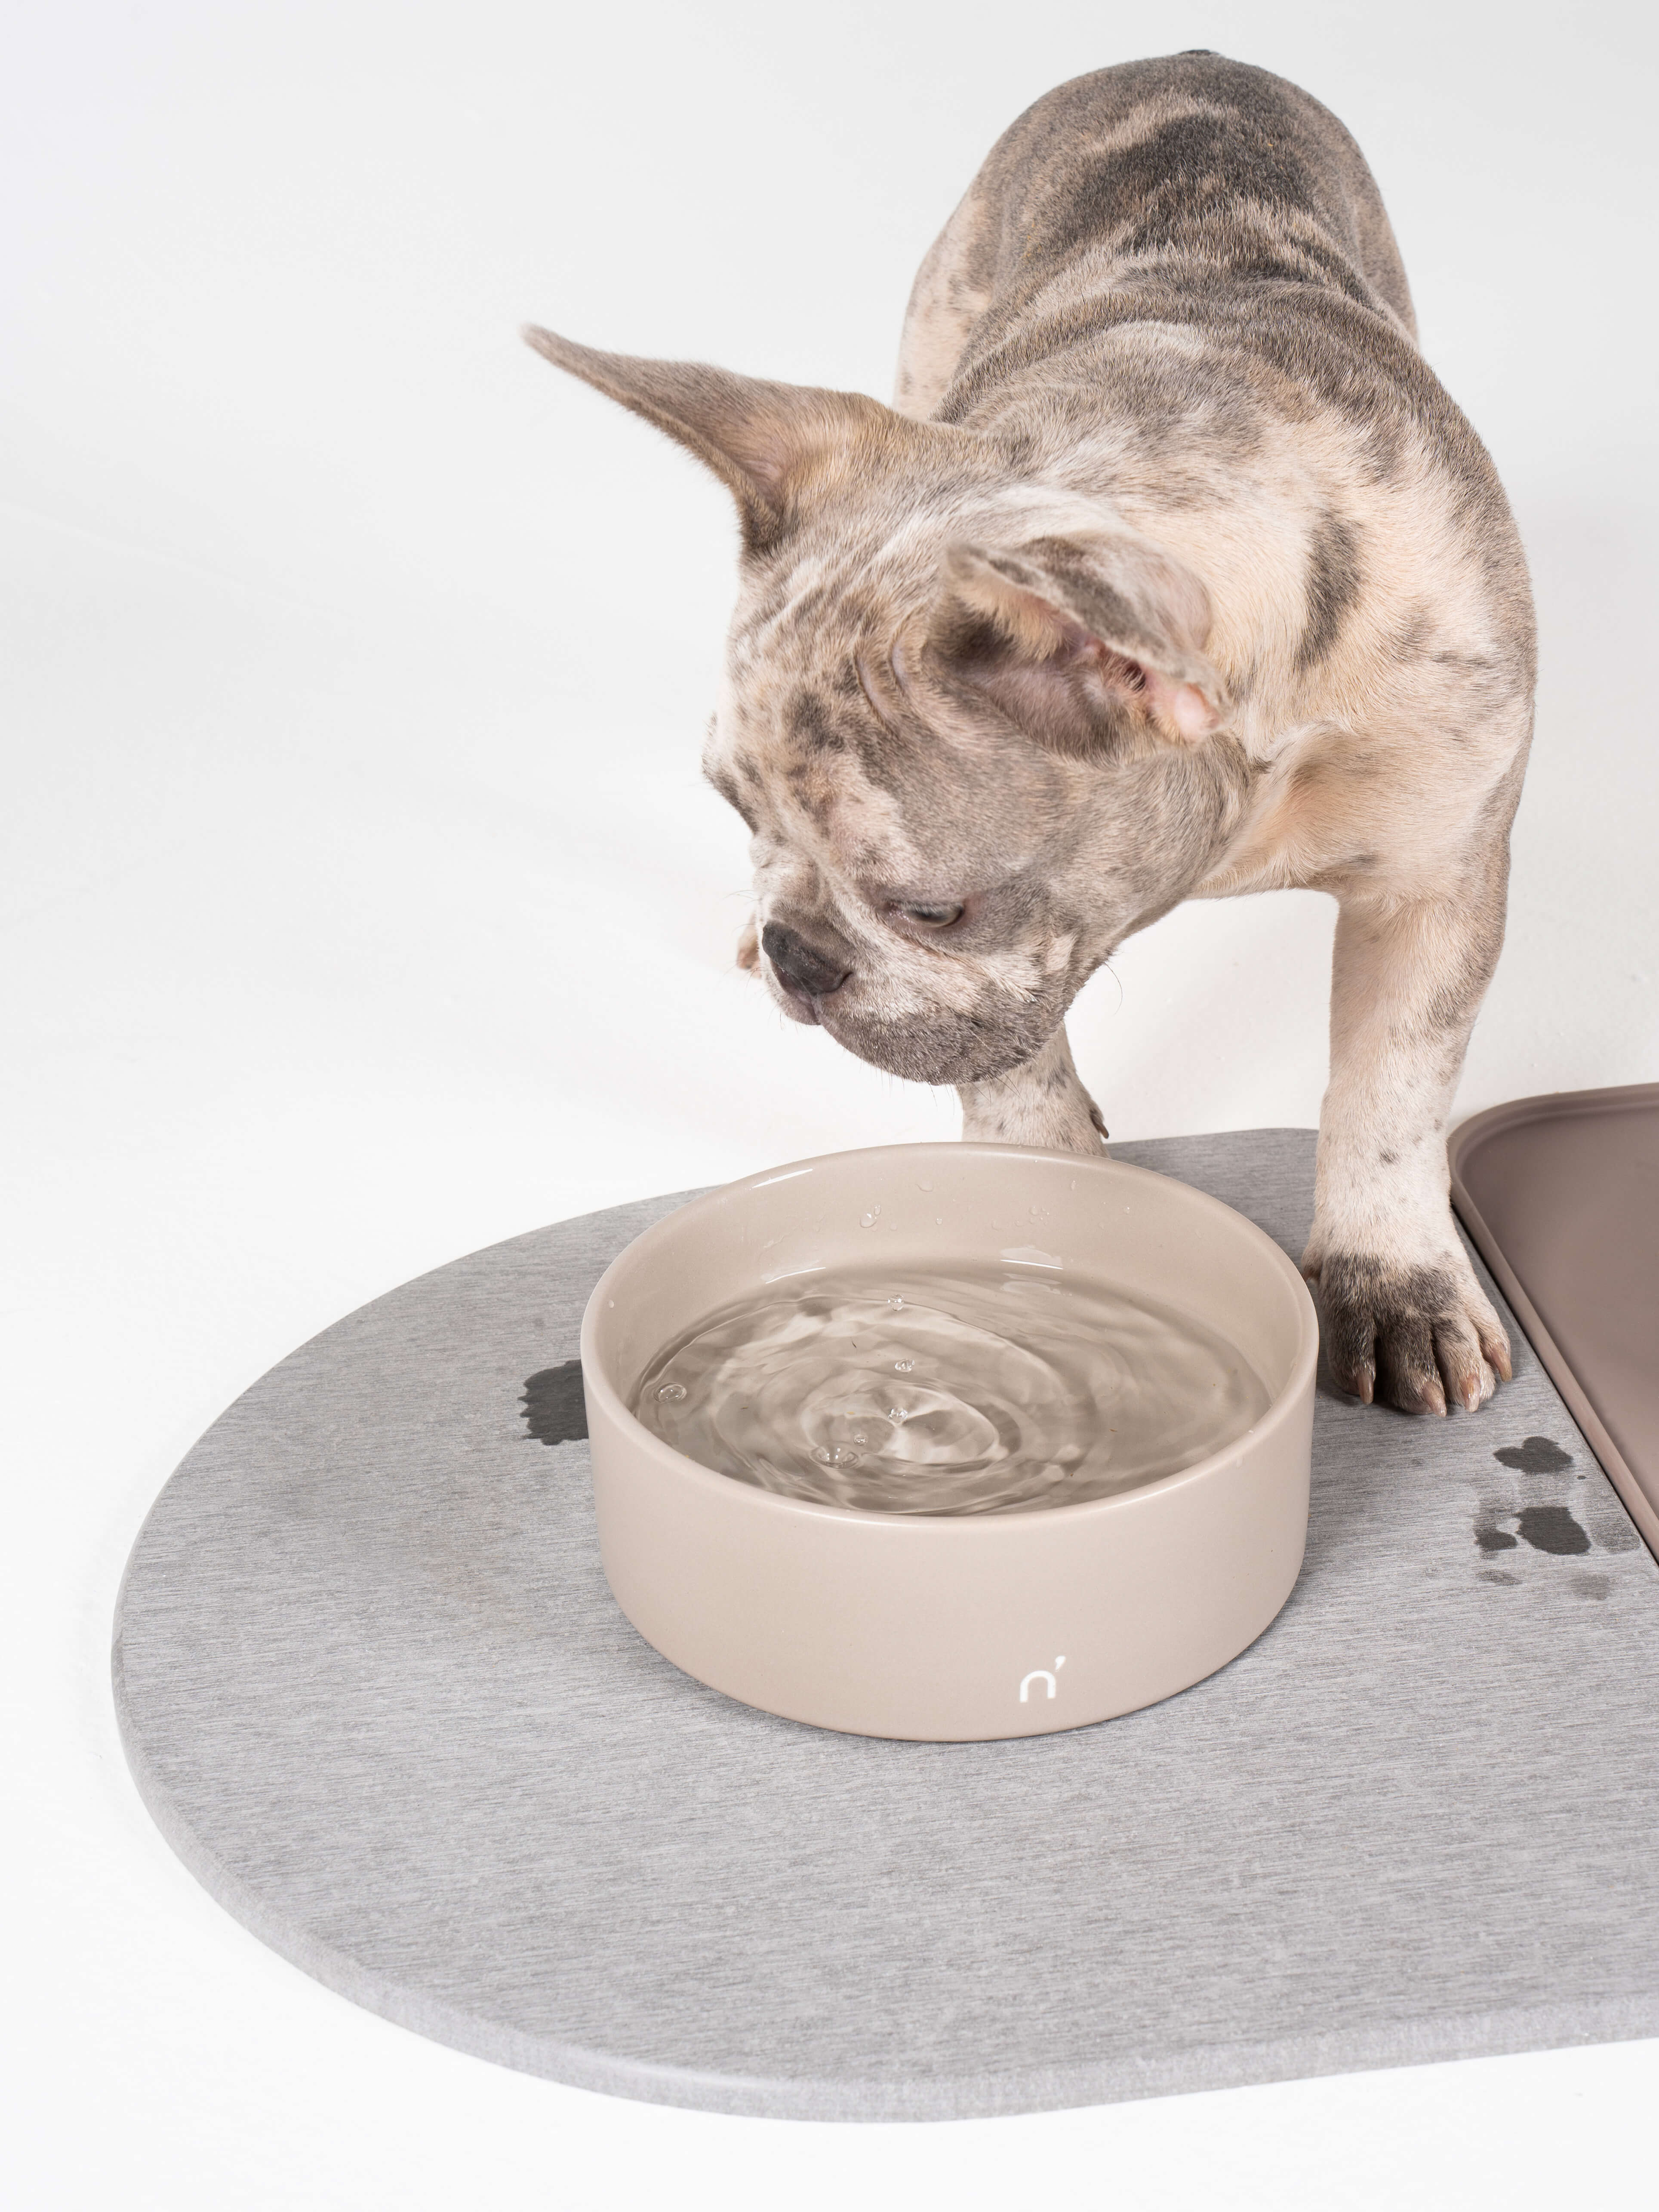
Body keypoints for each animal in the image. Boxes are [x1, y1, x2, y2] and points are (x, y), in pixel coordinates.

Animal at [526, 52, 1539, 1415]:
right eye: (737, 813)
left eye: (931, 909)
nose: (800, 954)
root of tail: (1189, 58)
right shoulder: (1002, 984)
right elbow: (1010, 1069)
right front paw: (1032, 1194)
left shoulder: (1436, 879)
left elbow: (1393, 1088)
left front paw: (1394, 1276)